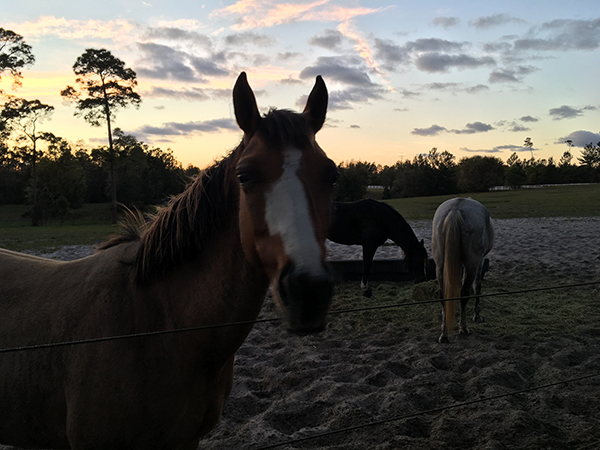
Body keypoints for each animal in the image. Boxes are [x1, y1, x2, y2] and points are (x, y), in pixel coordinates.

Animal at [434, 199, 494, 342]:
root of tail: (455, 210)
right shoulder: (479, 261)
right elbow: (477, 286)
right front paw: (477, 315)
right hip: (471, 264)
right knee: (464, 293)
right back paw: (464, 328)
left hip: (440, 265)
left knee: (443, 296)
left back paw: (444, 334)